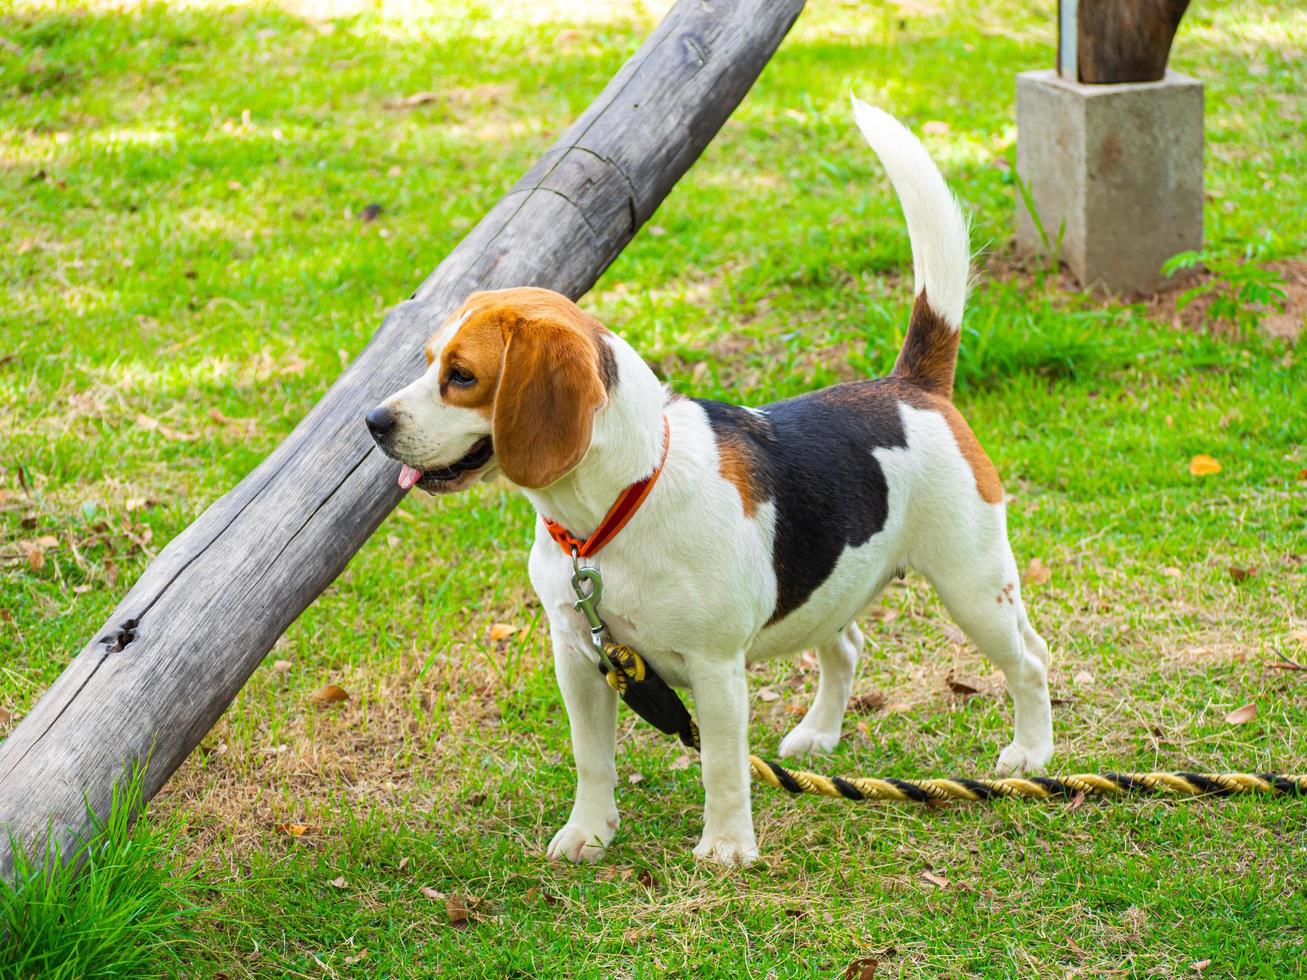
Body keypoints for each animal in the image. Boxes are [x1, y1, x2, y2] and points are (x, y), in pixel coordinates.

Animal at [365, 99, 1050, 867]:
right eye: (427, 360)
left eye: (461, 376)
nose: (372, 422)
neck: (614, 513)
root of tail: (911, 385)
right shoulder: (579, 657)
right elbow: (591, 758)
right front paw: (589, 831)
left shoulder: (717, 668)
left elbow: (722, 764)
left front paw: (725, 846)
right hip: (840, 588)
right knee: (847, 648)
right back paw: (819, 735)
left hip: (972, 587)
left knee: (1030, 660)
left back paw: (1030, 753)